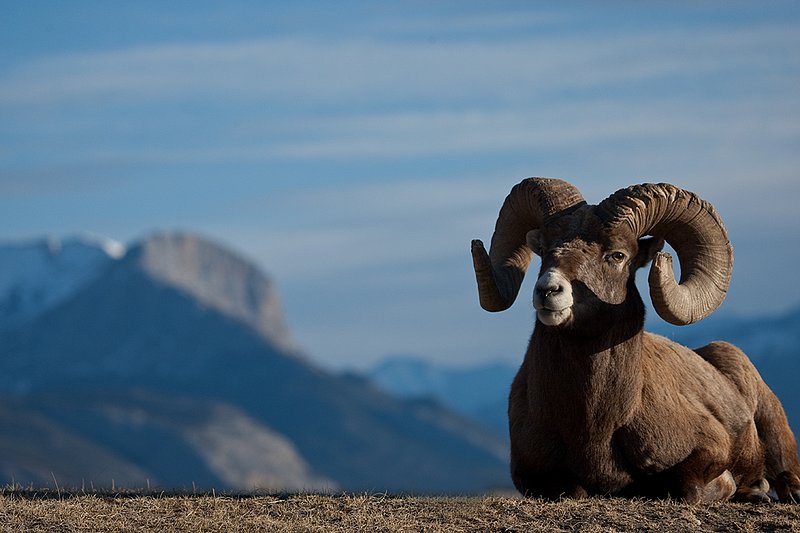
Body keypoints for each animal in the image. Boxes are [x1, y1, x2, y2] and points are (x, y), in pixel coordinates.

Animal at [471, 178, 800, 503]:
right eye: (545, 250)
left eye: (617, 255)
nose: (547, 290)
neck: (595, 425)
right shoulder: (530, 475)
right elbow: (572, 490)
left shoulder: (712, 447)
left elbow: (688, 488)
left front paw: (730, 487)